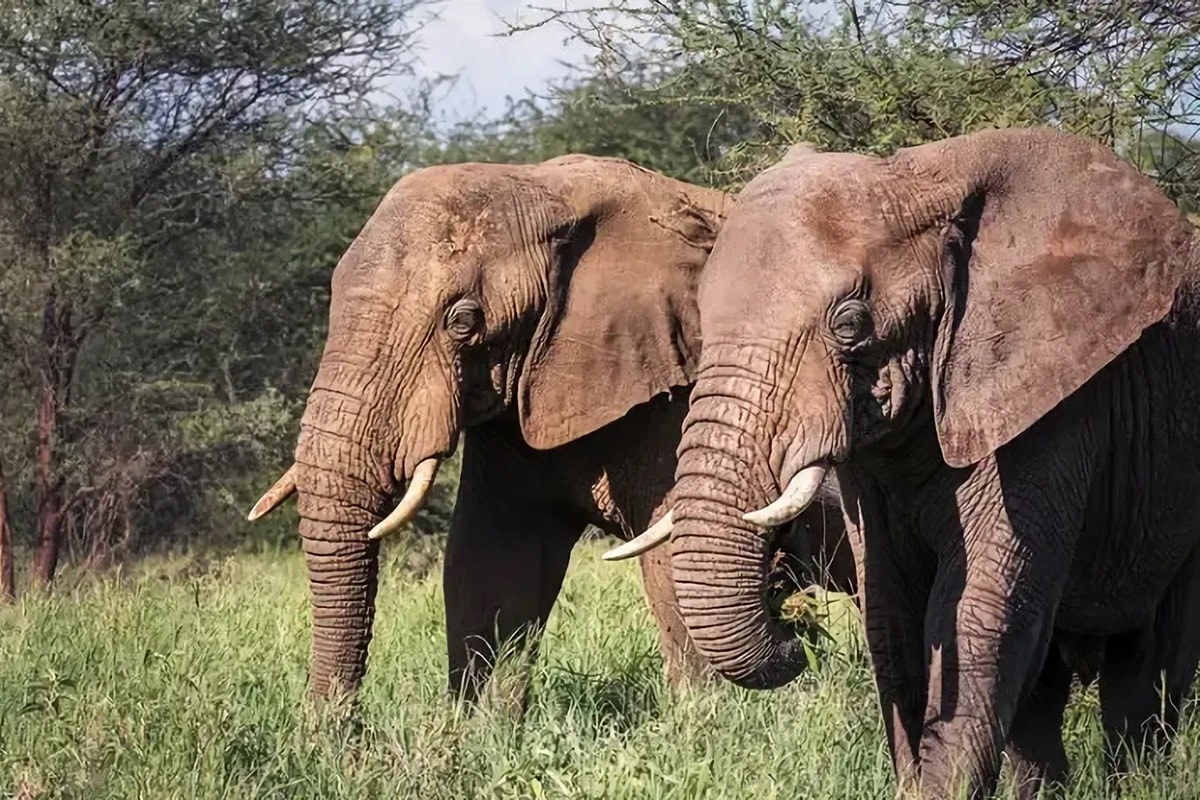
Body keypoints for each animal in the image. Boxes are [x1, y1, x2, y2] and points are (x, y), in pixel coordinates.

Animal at [241, 153, 854, 710]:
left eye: (463, 320)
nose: (339, 733)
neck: (545, 188)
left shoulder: (681, 389)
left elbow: (673, 559)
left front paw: (712, 727)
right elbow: (493, 561)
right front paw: (479, 735)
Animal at [619, 128, 1200, 796]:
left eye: (850, 324)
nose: (795, 640)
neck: (920, 179)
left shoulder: (1052, 403)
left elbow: (979, 609)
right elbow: (888, 606)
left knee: (1149, 668)